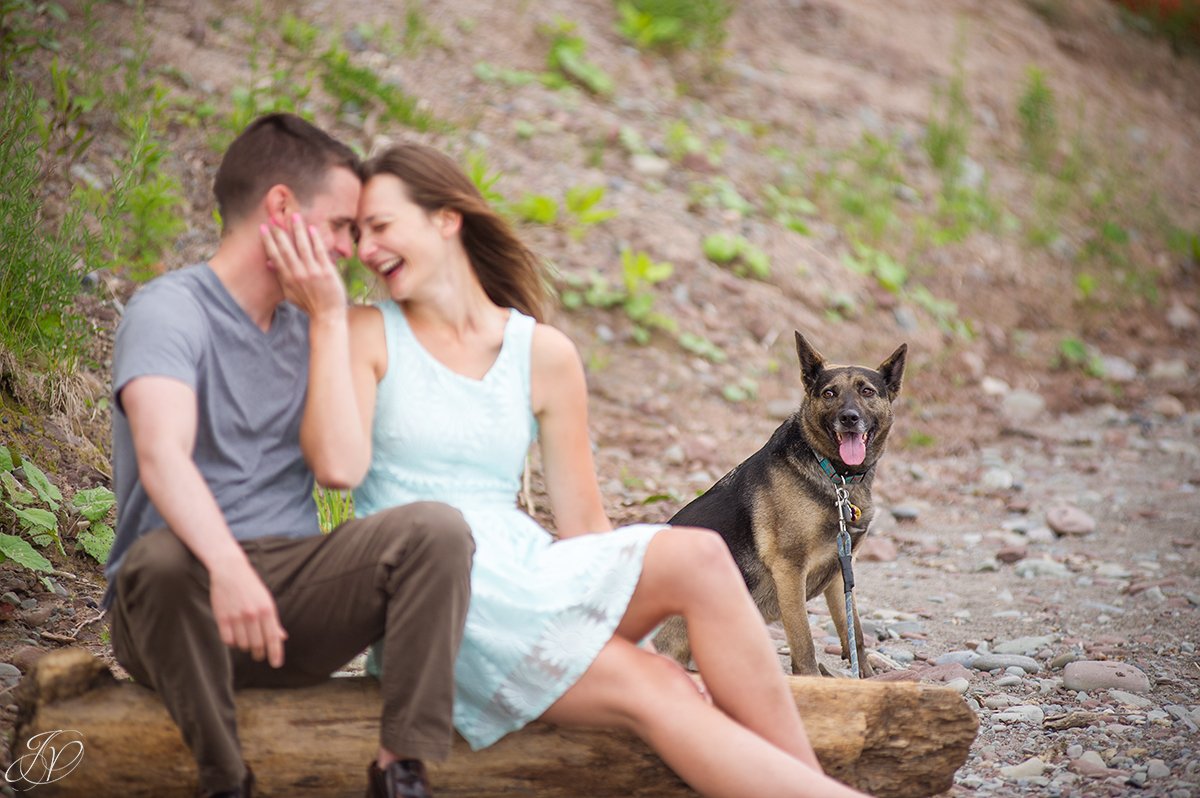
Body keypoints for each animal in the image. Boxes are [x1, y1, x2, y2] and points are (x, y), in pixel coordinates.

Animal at [657, 333, 907, 676]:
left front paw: (864, 677)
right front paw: (813, 677)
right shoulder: (790, 568)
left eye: (867, 391)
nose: (849, 418)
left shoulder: (841, 571)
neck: (836, 477)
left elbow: (853, 630)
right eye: (829, 393)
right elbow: (803, 642)